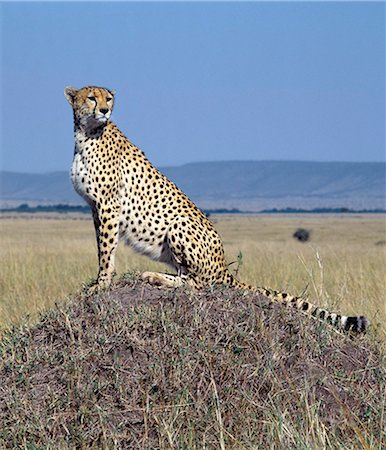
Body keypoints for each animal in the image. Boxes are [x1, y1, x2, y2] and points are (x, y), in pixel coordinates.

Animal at [65, 88, 370, 332]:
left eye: (108, 98)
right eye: (91, 97)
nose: (104, 110)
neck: (86, 134)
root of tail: (224, 267)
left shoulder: (108, 205)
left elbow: (106, 251)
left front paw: (102, 284)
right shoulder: (95, 208)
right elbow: (103, 247)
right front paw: (100, 282)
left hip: (180, 224)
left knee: (200, 284)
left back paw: (153, 277)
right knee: (188, 277)